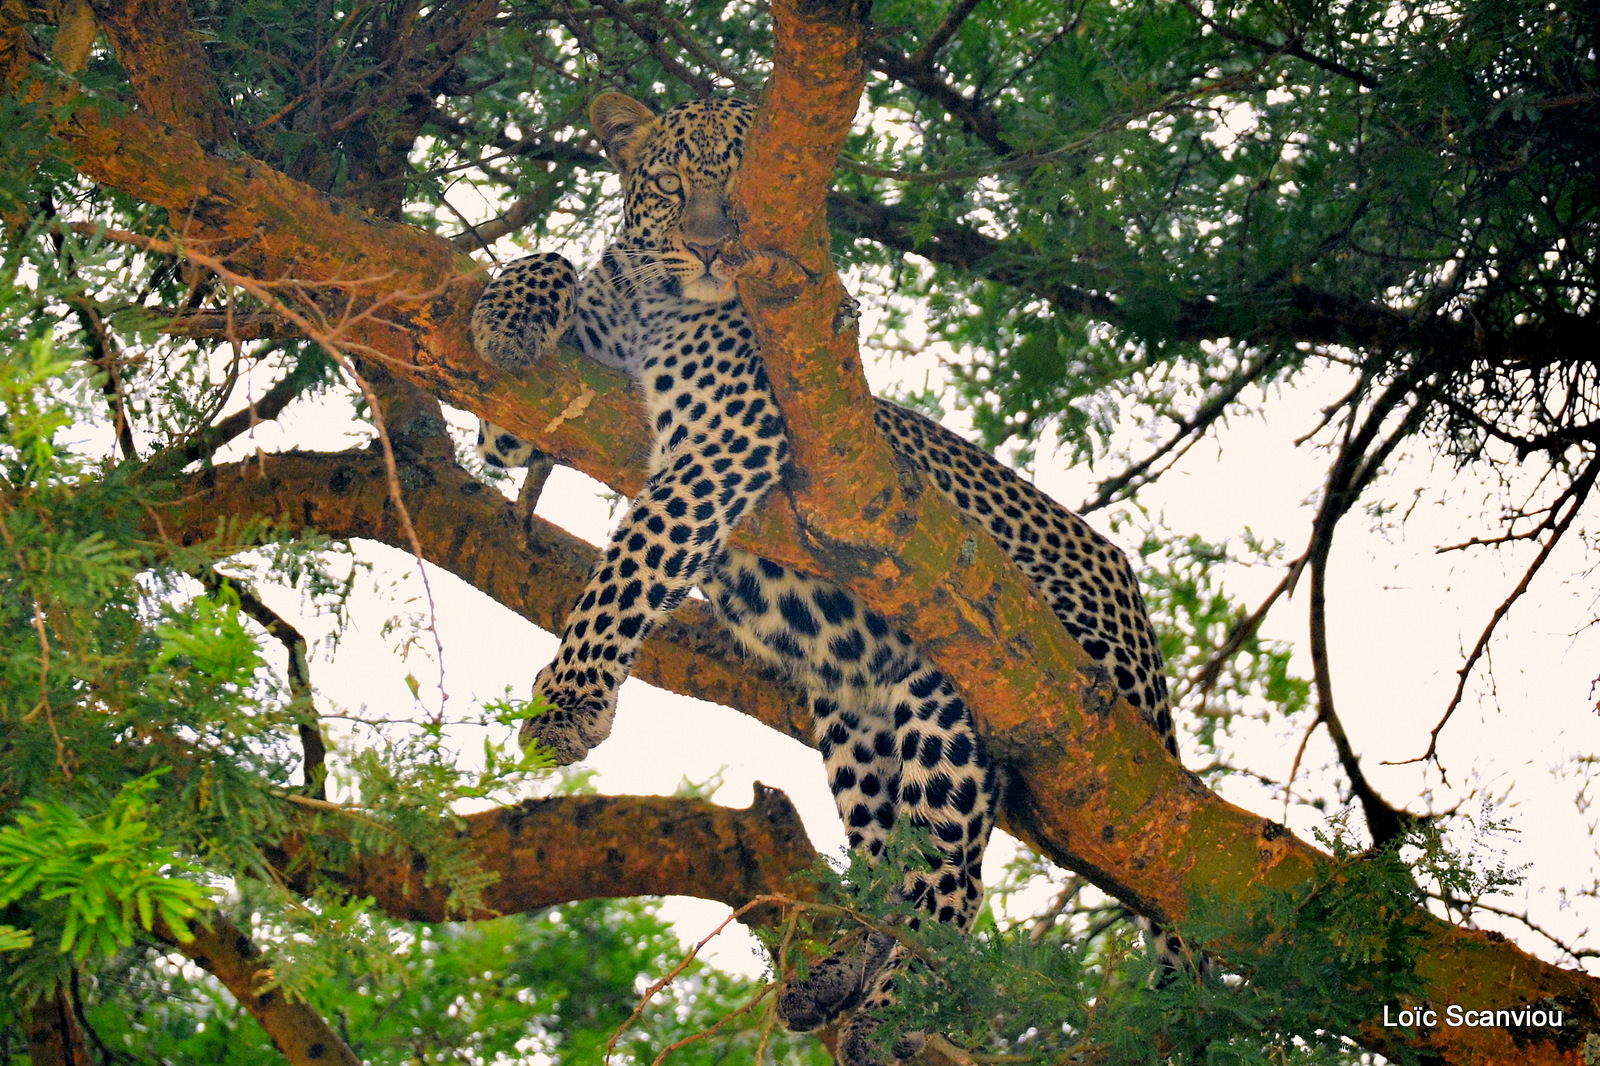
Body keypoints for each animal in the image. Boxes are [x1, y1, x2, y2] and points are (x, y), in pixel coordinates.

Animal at [467, 93, 1177, 1062]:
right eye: (670, 182)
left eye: (749, 183)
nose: (712, 247)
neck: (658, 310)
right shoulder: (536, 413)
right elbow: (557, 263)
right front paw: (508, 314)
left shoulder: (728, 440)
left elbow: (635, 559)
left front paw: (571, 700)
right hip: (852, 713)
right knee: (888, 861)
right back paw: (840, 970)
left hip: (972, 686)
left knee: (953, 885)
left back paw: (893, 1012)